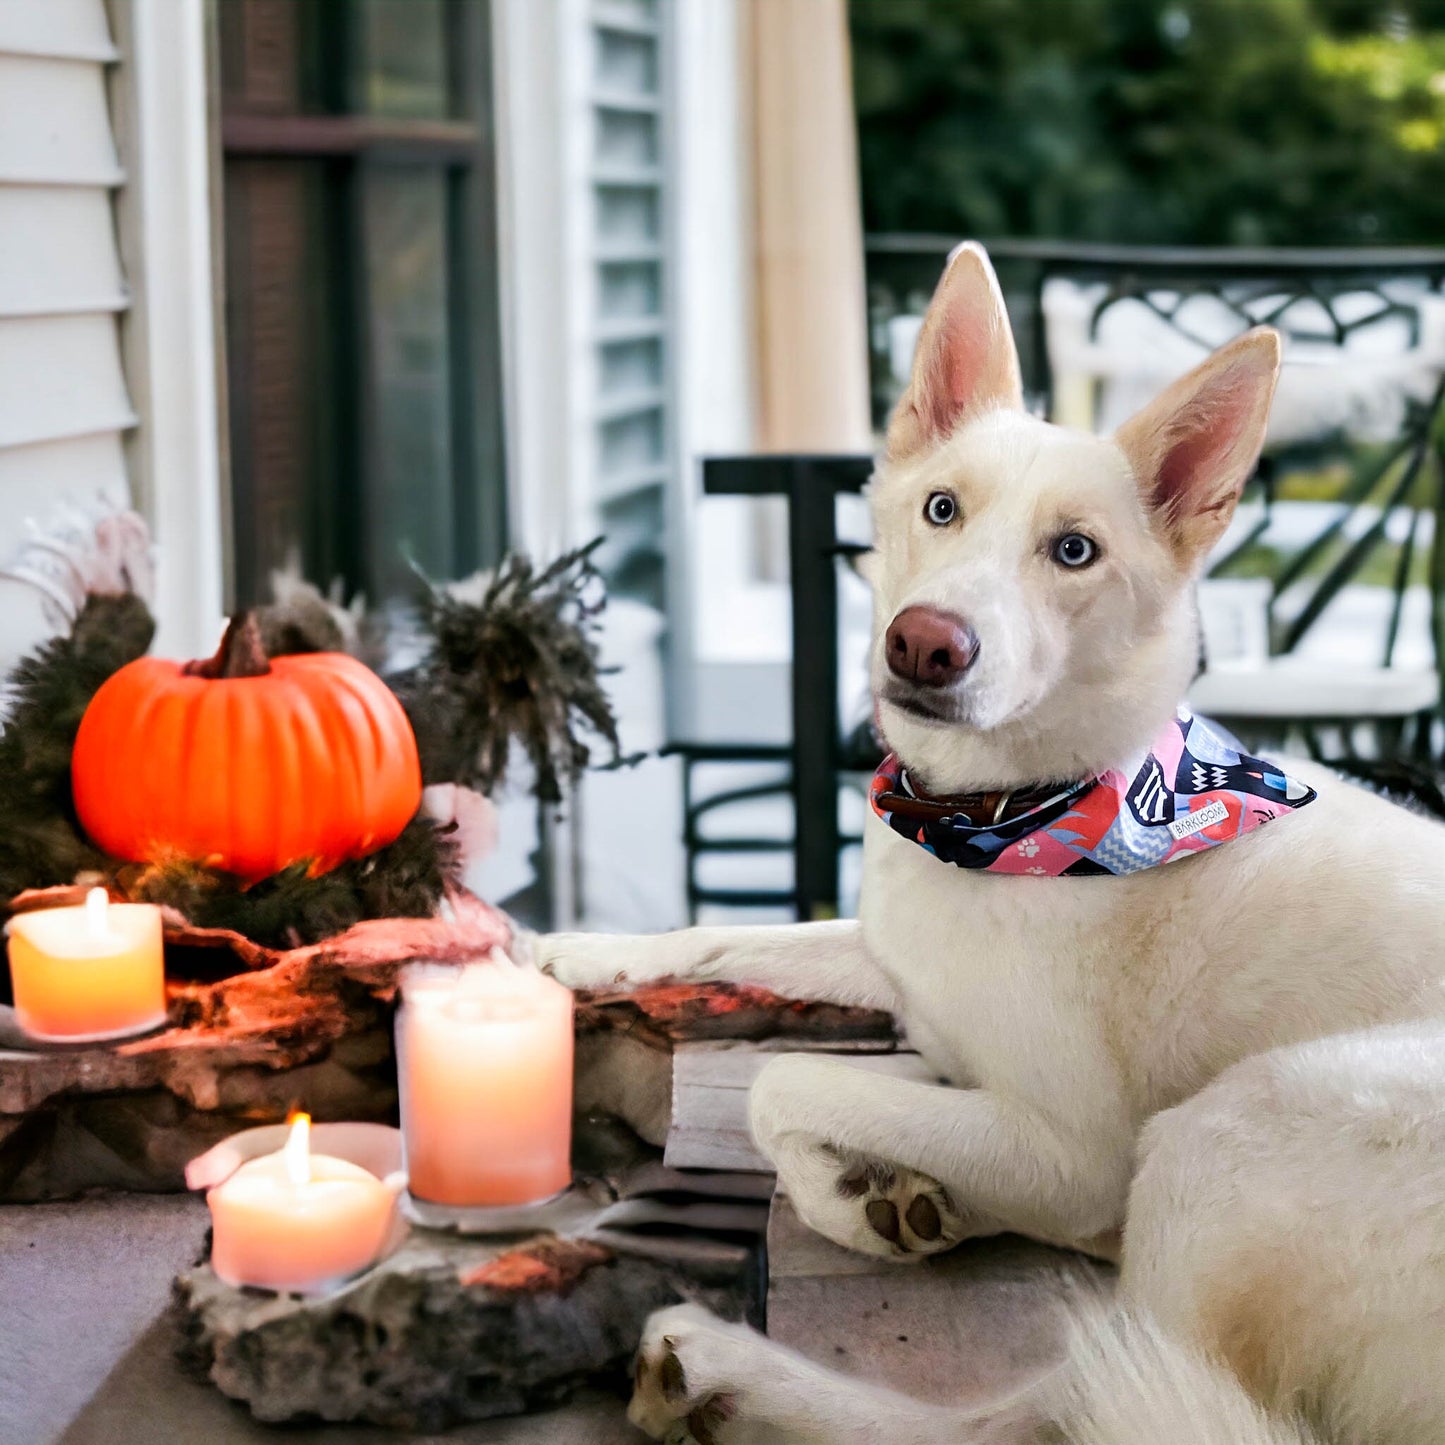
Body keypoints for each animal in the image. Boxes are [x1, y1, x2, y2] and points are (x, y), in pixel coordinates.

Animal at [534, 245, 1445, 1445]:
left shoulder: (1073, 1153)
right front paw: (572, 951)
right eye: (940, 508)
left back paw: (726, 1371)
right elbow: (728, 936)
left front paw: (853, 1197)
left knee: (1041, 1408)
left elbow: (779, 1081)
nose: (923, 644)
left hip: (1228, 1129)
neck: (1005, 814)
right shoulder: (893, 951)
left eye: (1073, 551)